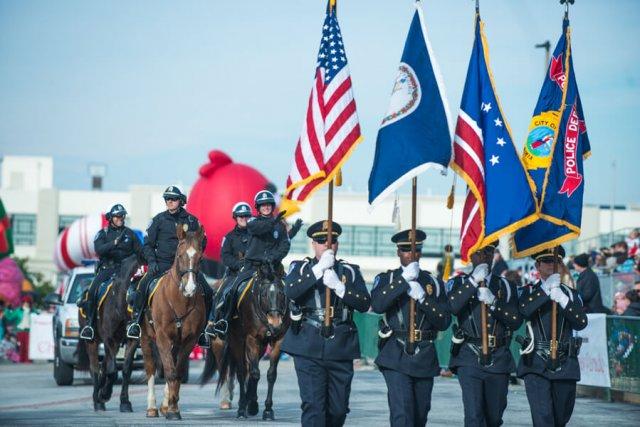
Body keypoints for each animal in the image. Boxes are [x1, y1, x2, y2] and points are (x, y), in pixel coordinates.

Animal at [77, 254, 142, 414]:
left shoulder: (131, 340)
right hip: (92, 342)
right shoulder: (109, 339)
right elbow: (113, 371)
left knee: (103, 366)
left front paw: (125, 402)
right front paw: (105, 394)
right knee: (94, 368)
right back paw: (97, 399)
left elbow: (126, 370)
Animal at [139, 224, 205, 422]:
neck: (180, 301)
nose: (190, 288)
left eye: (200, 257)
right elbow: (170, 371)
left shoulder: (188, 340)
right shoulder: (162, 338)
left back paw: (164, 405)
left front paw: (172, 407)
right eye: (180, 255)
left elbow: (177, 372)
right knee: (151, 368)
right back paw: (152, 407)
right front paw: (172, 409)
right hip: (146, 338)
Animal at [202, 268, 290, 422]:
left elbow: (271, 374)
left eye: (282, 293)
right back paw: (242, 407)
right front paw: (252, 405)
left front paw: (268, 410)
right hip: (234, 342)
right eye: (264, 294)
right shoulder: (252, 339)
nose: (275, 324)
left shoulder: (278, 340)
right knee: (241, 372)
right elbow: (254, 374)